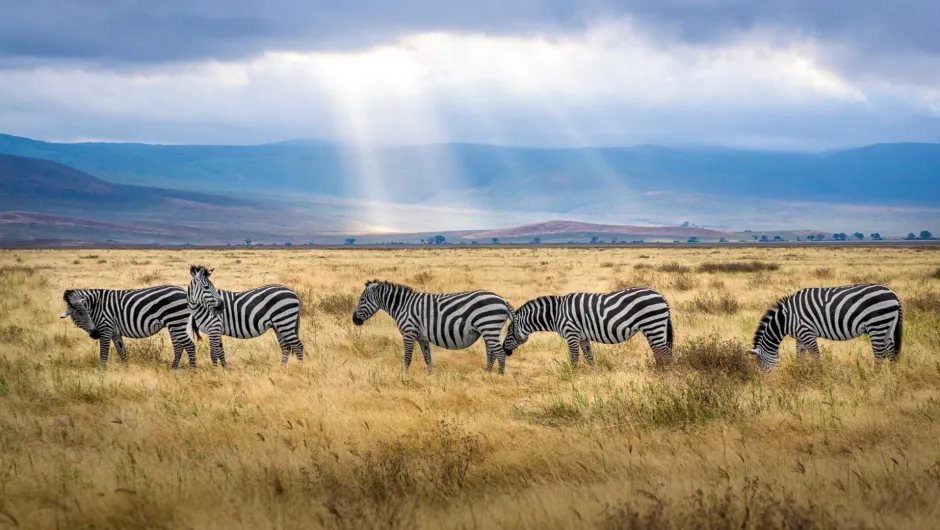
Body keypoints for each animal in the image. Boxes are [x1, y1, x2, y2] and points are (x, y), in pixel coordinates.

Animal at [58, 284, 196, 368]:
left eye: (87, 314)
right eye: (77, 316)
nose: (95, 333)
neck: (96, 306)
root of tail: (184, 291)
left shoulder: (106, 328)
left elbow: (103, 354)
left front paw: (101, 372)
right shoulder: (115, 332)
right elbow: (122, 351)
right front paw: (126, 369)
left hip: (176, 322)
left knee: (190, 346)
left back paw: (192, 370)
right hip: (175, 324)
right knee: (179, 346)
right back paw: (174, 369)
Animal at [352, 278, 516, 374]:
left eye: (362, 299)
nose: (354, 320)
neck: (402, 305)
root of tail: (502, 300)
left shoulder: (409, 332)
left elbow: (407, 357)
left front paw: (404, 375)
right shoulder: (422, 337)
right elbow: (427, 357)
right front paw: (430, 376)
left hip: (488, 326)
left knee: (500, 353)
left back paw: (498, 377)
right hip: (489, 330)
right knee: (491, 353)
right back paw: (486, 373)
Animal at [504, 288, 672, 368]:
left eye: (509, 331)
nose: (505, 350)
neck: (556, 314)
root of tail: (661, 296)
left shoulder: (571, 334)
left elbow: (574, 358)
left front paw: (572, 376)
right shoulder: (583, 337)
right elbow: (589, 357)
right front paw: (593, 375)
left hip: (653, 325)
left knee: (665, 352)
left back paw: (665, 374)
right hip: (653, 328)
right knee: (660, 352)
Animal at [748, 284, 904, 368]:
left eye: (761, 364)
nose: (765, 382)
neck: (786, 318)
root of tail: (893, 294)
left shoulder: (807, 332)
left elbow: (816, 357)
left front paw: (820, 375)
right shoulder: (800, 337)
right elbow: (800, 356)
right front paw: (799, 373)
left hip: (877, 325)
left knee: (879, 355)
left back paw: (873, 377)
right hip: (888, 326)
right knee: (891, 352)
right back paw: (891, 376)